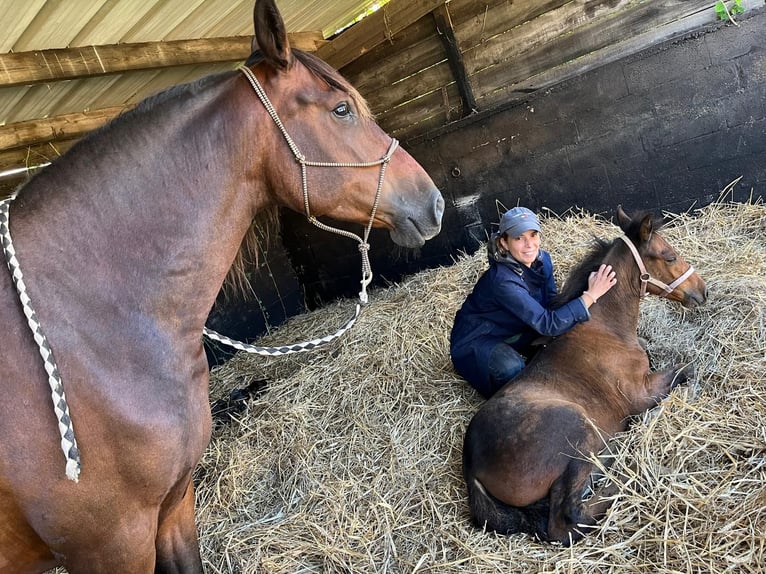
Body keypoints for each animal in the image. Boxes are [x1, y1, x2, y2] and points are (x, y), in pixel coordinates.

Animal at [462, 206, 708, 544]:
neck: (604, 327)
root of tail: (472, 466)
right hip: (577, 429)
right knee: (566, 519)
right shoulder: (640, 395)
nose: (702, 291)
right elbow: (687, 368)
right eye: (669, 256)